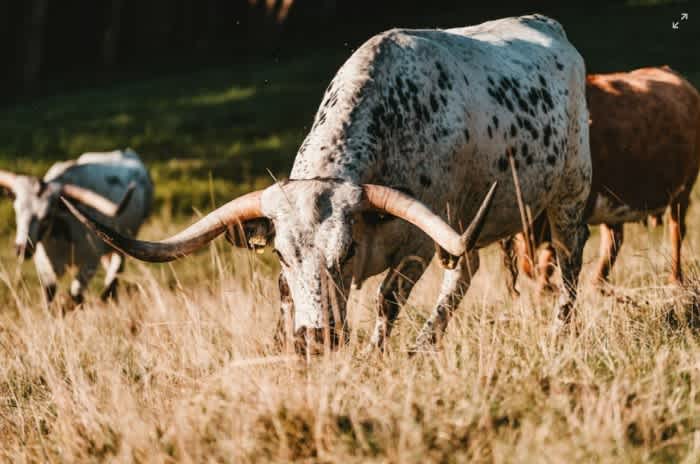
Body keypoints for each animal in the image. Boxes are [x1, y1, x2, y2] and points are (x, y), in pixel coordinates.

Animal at [0, 149, 153, 306]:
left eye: (47, 215)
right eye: (17, 210)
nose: (22, 249)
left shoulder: (89, 263)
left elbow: (75, 297)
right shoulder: (44, 267)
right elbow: (49, 299)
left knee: (115, 274)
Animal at [65, 14, 592, 354]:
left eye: (346, 251)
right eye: (280, 254)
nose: (315, 340)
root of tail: (550, 26)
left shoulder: (417, 246)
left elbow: (386, 301)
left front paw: (375, 356)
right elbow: (285, 299)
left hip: (569, 194)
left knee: (568, 263)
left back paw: (557, 336)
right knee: (465, 269)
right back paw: (425, 343)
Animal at [500, 66, 700, 294]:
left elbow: (549, 256)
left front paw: (547, 286)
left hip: (683, 189)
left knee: (677, 231)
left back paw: (675, 280)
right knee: (613, 241)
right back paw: (597, 284)